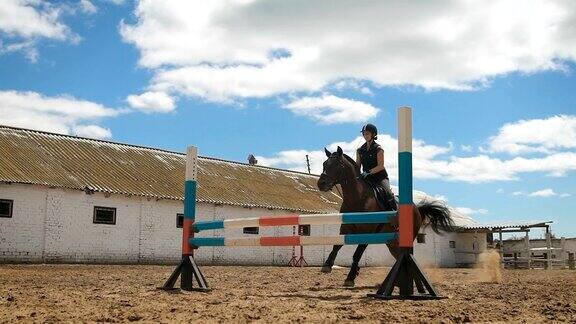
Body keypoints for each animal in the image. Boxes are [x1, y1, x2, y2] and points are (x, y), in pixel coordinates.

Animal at [316, 146, 454, 286]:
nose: (321, 183)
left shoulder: (369, 232)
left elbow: (357, 254)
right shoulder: (346, 228)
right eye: (324, 164)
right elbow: (337, 245)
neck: (358, 198)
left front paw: (350, 278)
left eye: (338, 165)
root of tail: (417, 209)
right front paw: (327, 265)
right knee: (398, 254)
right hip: (392, 242)